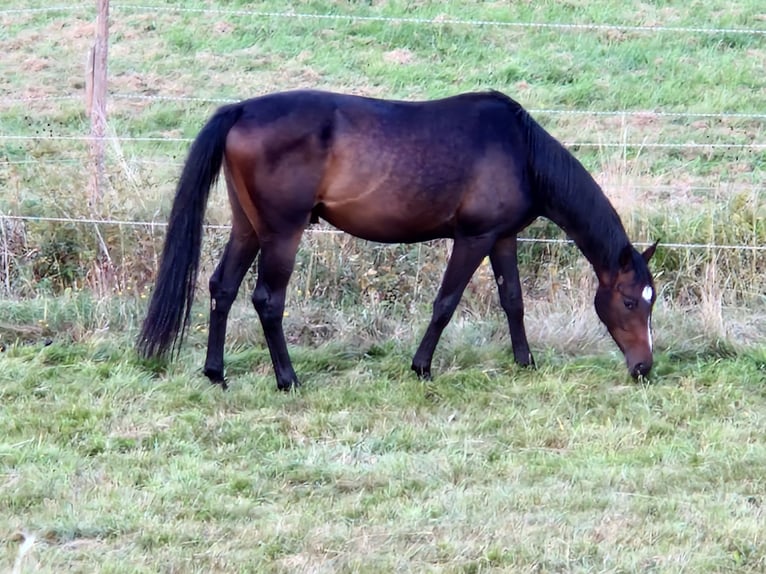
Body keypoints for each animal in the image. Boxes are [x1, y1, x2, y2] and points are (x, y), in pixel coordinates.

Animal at [137, 89, 658, 391]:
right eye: (631, 301)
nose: (644, 368)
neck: (520, 149)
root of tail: (241, 109)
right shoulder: (474, 238)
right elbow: (445, 303)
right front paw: (422, 367)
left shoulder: (503, 238)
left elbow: (513, 299)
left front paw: (525, 362)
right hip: (282, 233)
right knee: (267, 299)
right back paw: (288, 379)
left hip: (248, 227)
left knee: (221, 287)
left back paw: (216, 373)